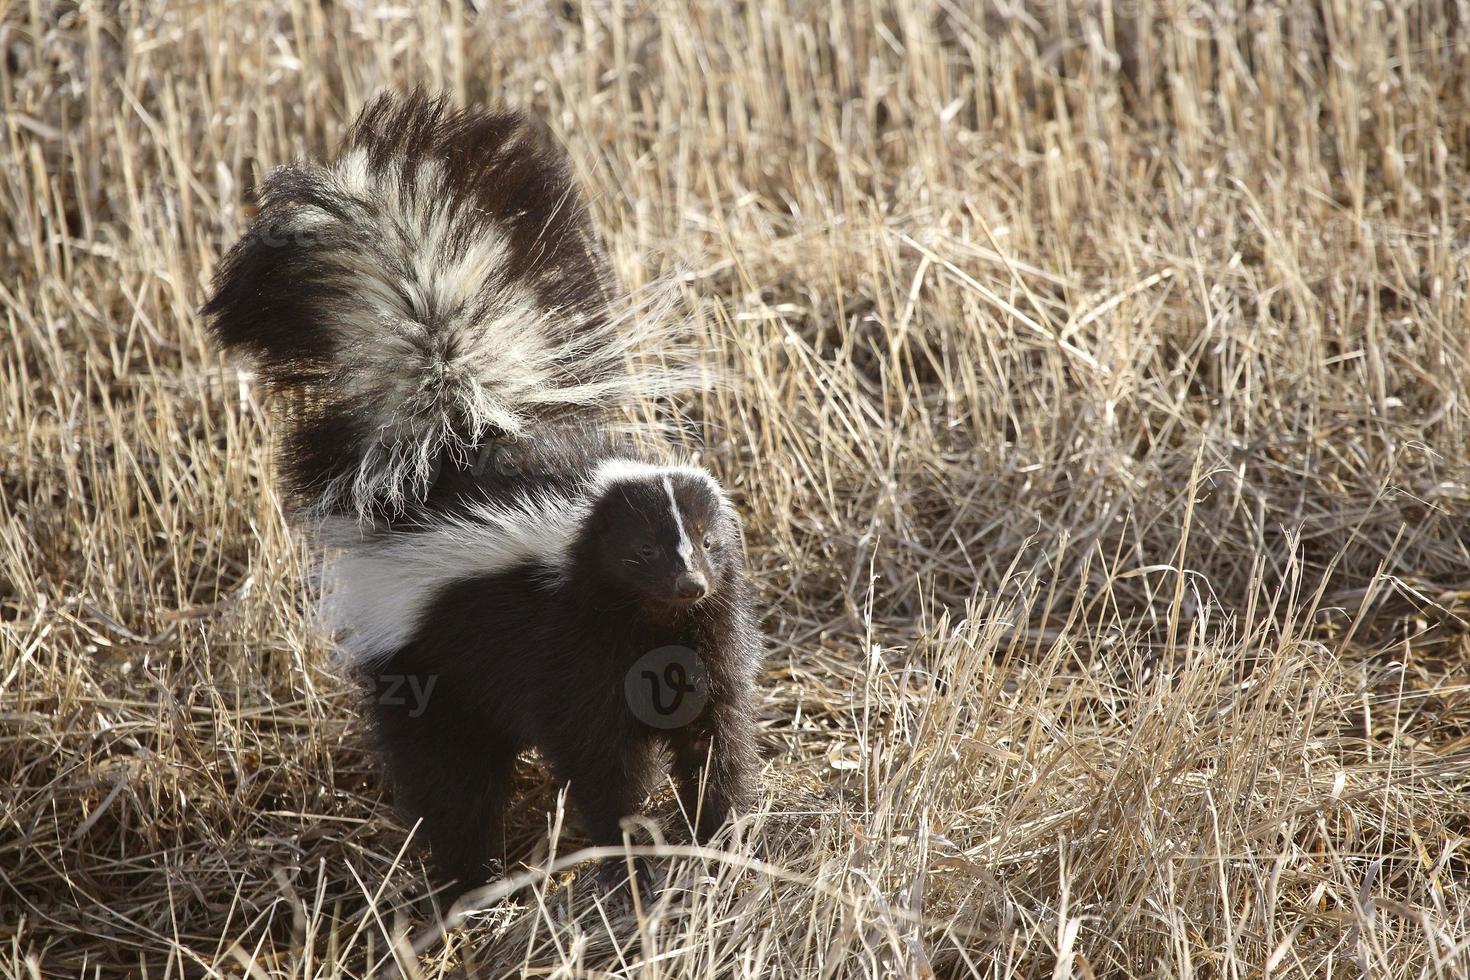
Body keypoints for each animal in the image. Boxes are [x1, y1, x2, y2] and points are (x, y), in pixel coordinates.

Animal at [202, 91, 764, 899]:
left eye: (711, 545)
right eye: (642, 552)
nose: (689, 582)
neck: (654, 623)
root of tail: (450, 446)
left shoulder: (707, 645)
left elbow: (715, 737)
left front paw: (721, 838)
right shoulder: (572, 651)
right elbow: (604, 763)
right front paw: (632, 863)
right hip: (425, 666)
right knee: (449, 778)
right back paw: (466, 880)